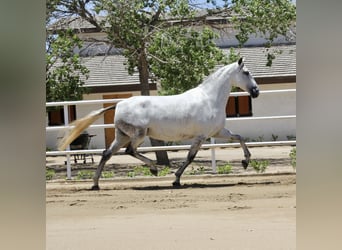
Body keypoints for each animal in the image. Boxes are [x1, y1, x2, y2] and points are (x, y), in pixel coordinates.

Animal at [59, 57, 260, 189]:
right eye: (246, 72)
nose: (256, 91)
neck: (209, 99)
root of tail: (120, 103)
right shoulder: (202, 136)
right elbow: (190, 157)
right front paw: (176, 179)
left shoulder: (217, 132)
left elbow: (239, 137)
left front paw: (245, 161)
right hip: (138, 134)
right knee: (129, 151)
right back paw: (154, 169)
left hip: (122, 135)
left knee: (106, 154)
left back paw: (95, 184)